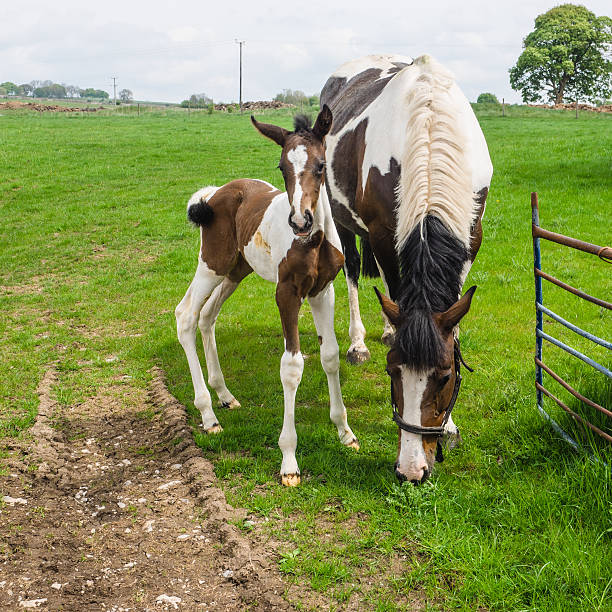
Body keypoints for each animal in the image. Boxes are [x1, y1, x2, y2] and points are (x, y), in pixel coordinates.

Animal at [175, 107, 358, 486]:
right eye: (282, 167)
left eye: (321, 165)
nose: (300, 221)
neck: (313, 242)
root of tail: (214, 194)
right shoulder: (287, 293)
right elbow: (292, 367)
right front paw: (289, 460)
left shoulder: (323, 291)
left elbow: (330, 356)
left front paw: (344, 431)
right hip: (212, 264)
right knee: (186, 315)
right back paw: (208, 414)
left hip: (236, 270)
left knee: (207, 316)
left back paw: (224, 395)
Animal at [320, 53, 492, 482]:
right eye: (392, 373)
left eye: (445, 376)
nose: (412, 470)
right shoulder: (381, 234)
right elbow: (391, 289)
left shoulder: (471, 234)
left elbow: (450, 319)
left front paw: (449, 427)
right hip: (343, 221)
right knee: (354, 271)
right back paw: (359, 342)